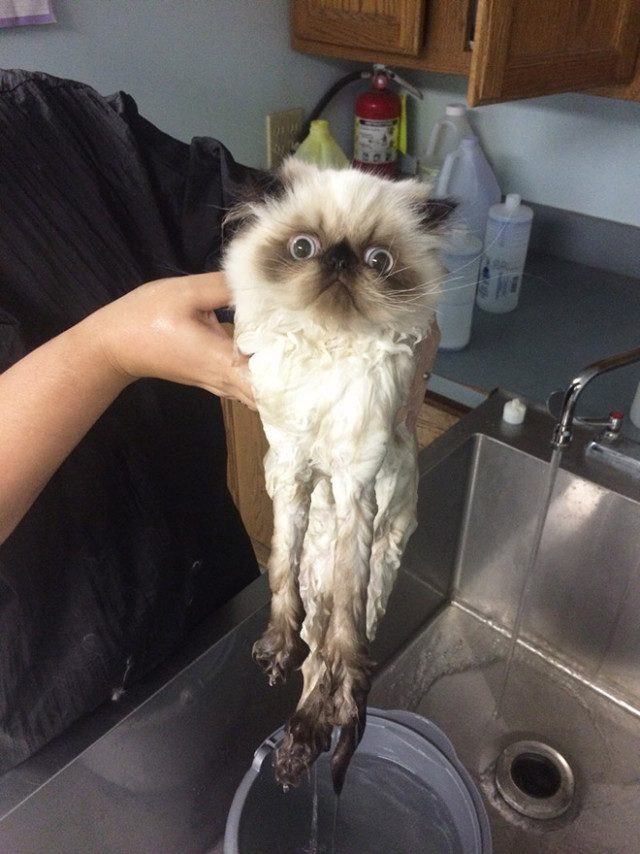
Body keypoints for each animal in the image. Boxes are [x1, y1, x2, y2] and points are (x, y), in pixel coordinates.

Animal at [224, 158, 453, 793]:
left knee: (330, 658)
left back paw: (306, 743)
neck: (329, 343)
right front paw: (272, 646)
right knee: (312, 649)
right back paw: (295, 747)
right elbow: (279, 563)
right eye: (303, 248)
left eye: (378, 261)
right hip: (315, 580)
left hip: (371, 573)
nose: (341, 260)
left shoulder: (354, 484)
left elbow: (345, 646)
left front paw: (344, 692)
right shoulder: (292, 467)